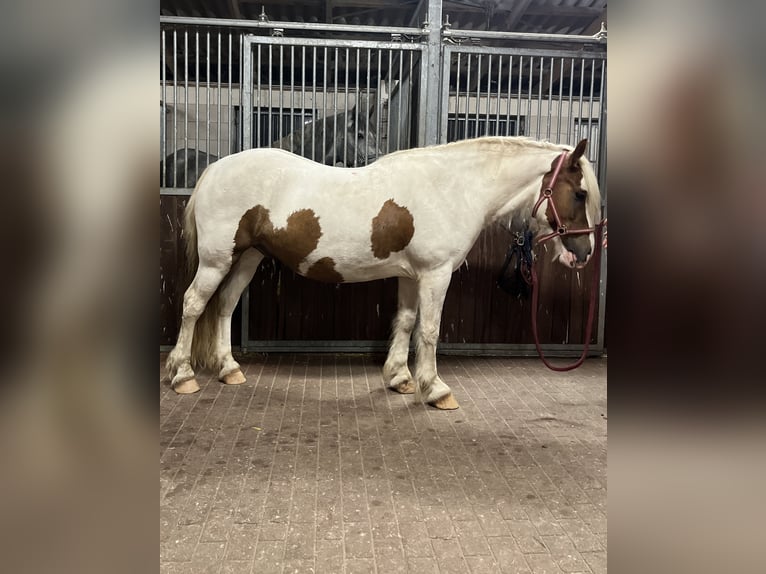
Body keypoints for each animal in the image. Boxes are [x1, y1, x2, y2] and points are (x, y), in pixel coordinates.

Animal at [165, 137, 604, 412]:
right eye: (580, 193)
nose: (583, 254)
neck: (452, 189)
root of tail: (213, 170)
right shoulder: (435, 274)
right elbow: (429, 330)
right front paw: (435, 389)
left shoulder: (412, 276)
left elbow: (406, 323)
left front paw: (399, 378)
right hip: (217, 260)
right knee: (194, 304)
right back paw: (183, 375)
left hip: (247, 258)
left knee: (223, 306)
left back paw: (229, 370)